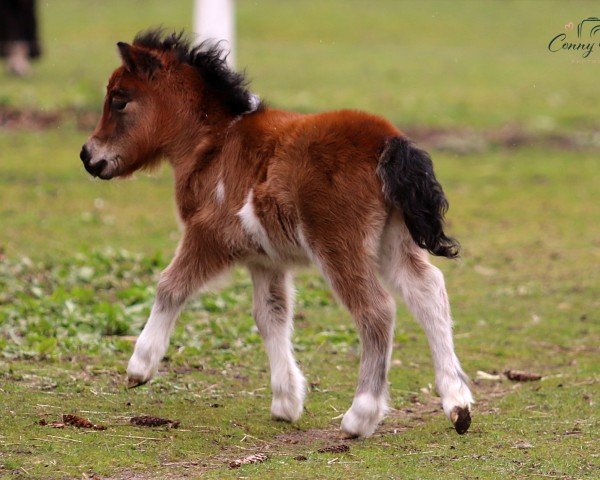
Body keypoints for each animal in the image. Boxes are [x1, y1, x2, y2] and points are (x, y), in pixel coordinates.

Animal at [81, 28, 474, 436]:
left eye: (119, 100)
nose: (87, 156)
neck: (215, 144)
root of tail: (388, 141)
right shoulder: (264, 259)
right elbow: (271, 316)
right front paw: (286, 401)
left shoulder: (208, 234)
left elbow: (170, 286)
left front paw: (139, 366)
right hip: (392, 240)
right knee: (428, 290)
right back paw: (457, 404)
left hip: (338, 244)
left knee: (377, 310)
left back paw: (360, 415)